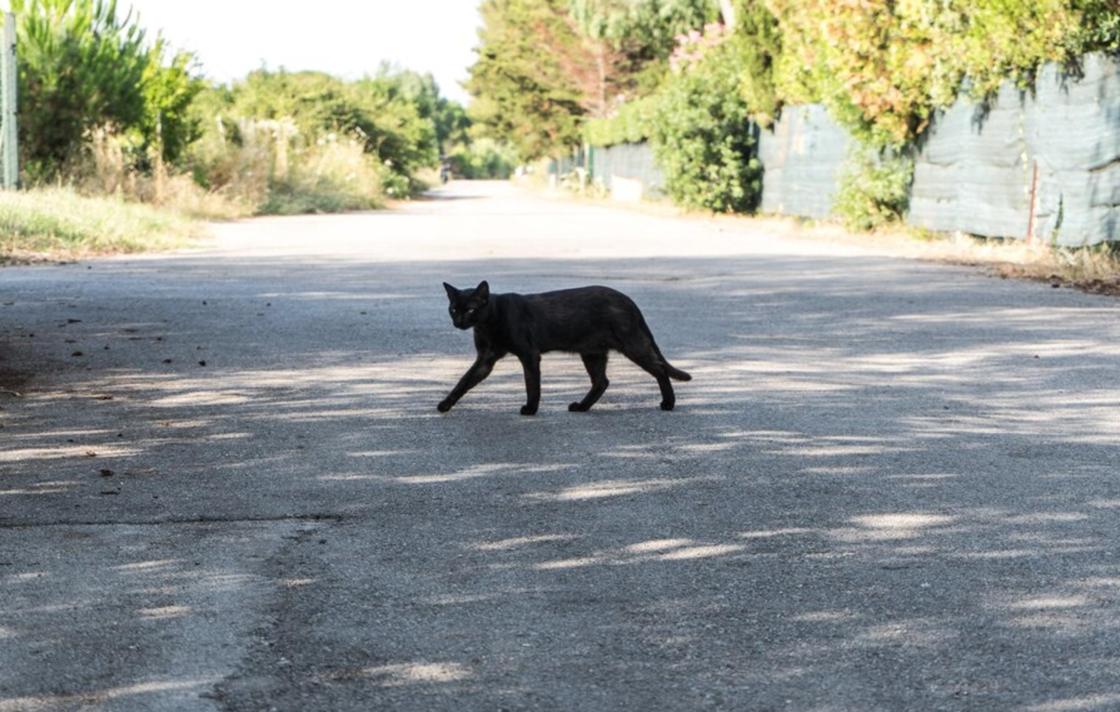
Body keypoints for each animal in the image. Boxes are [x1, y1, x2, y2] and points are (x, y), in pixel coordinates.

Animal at [439, 280, 689, 414]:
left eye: (471, 310)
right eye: (453, 309)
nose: (458, 322)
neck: (487, 324)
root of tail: (628, 300)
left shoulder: (529, 355)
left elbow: (532, 384)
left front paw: (530, 409)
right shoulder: (486, 359)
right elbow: (464, 381)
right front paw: (445, 404)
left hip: (632, 345)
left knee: (659, 369)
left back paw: (668, 403)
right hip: (592, 352)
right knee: (601, 381)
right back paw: (581, 407)